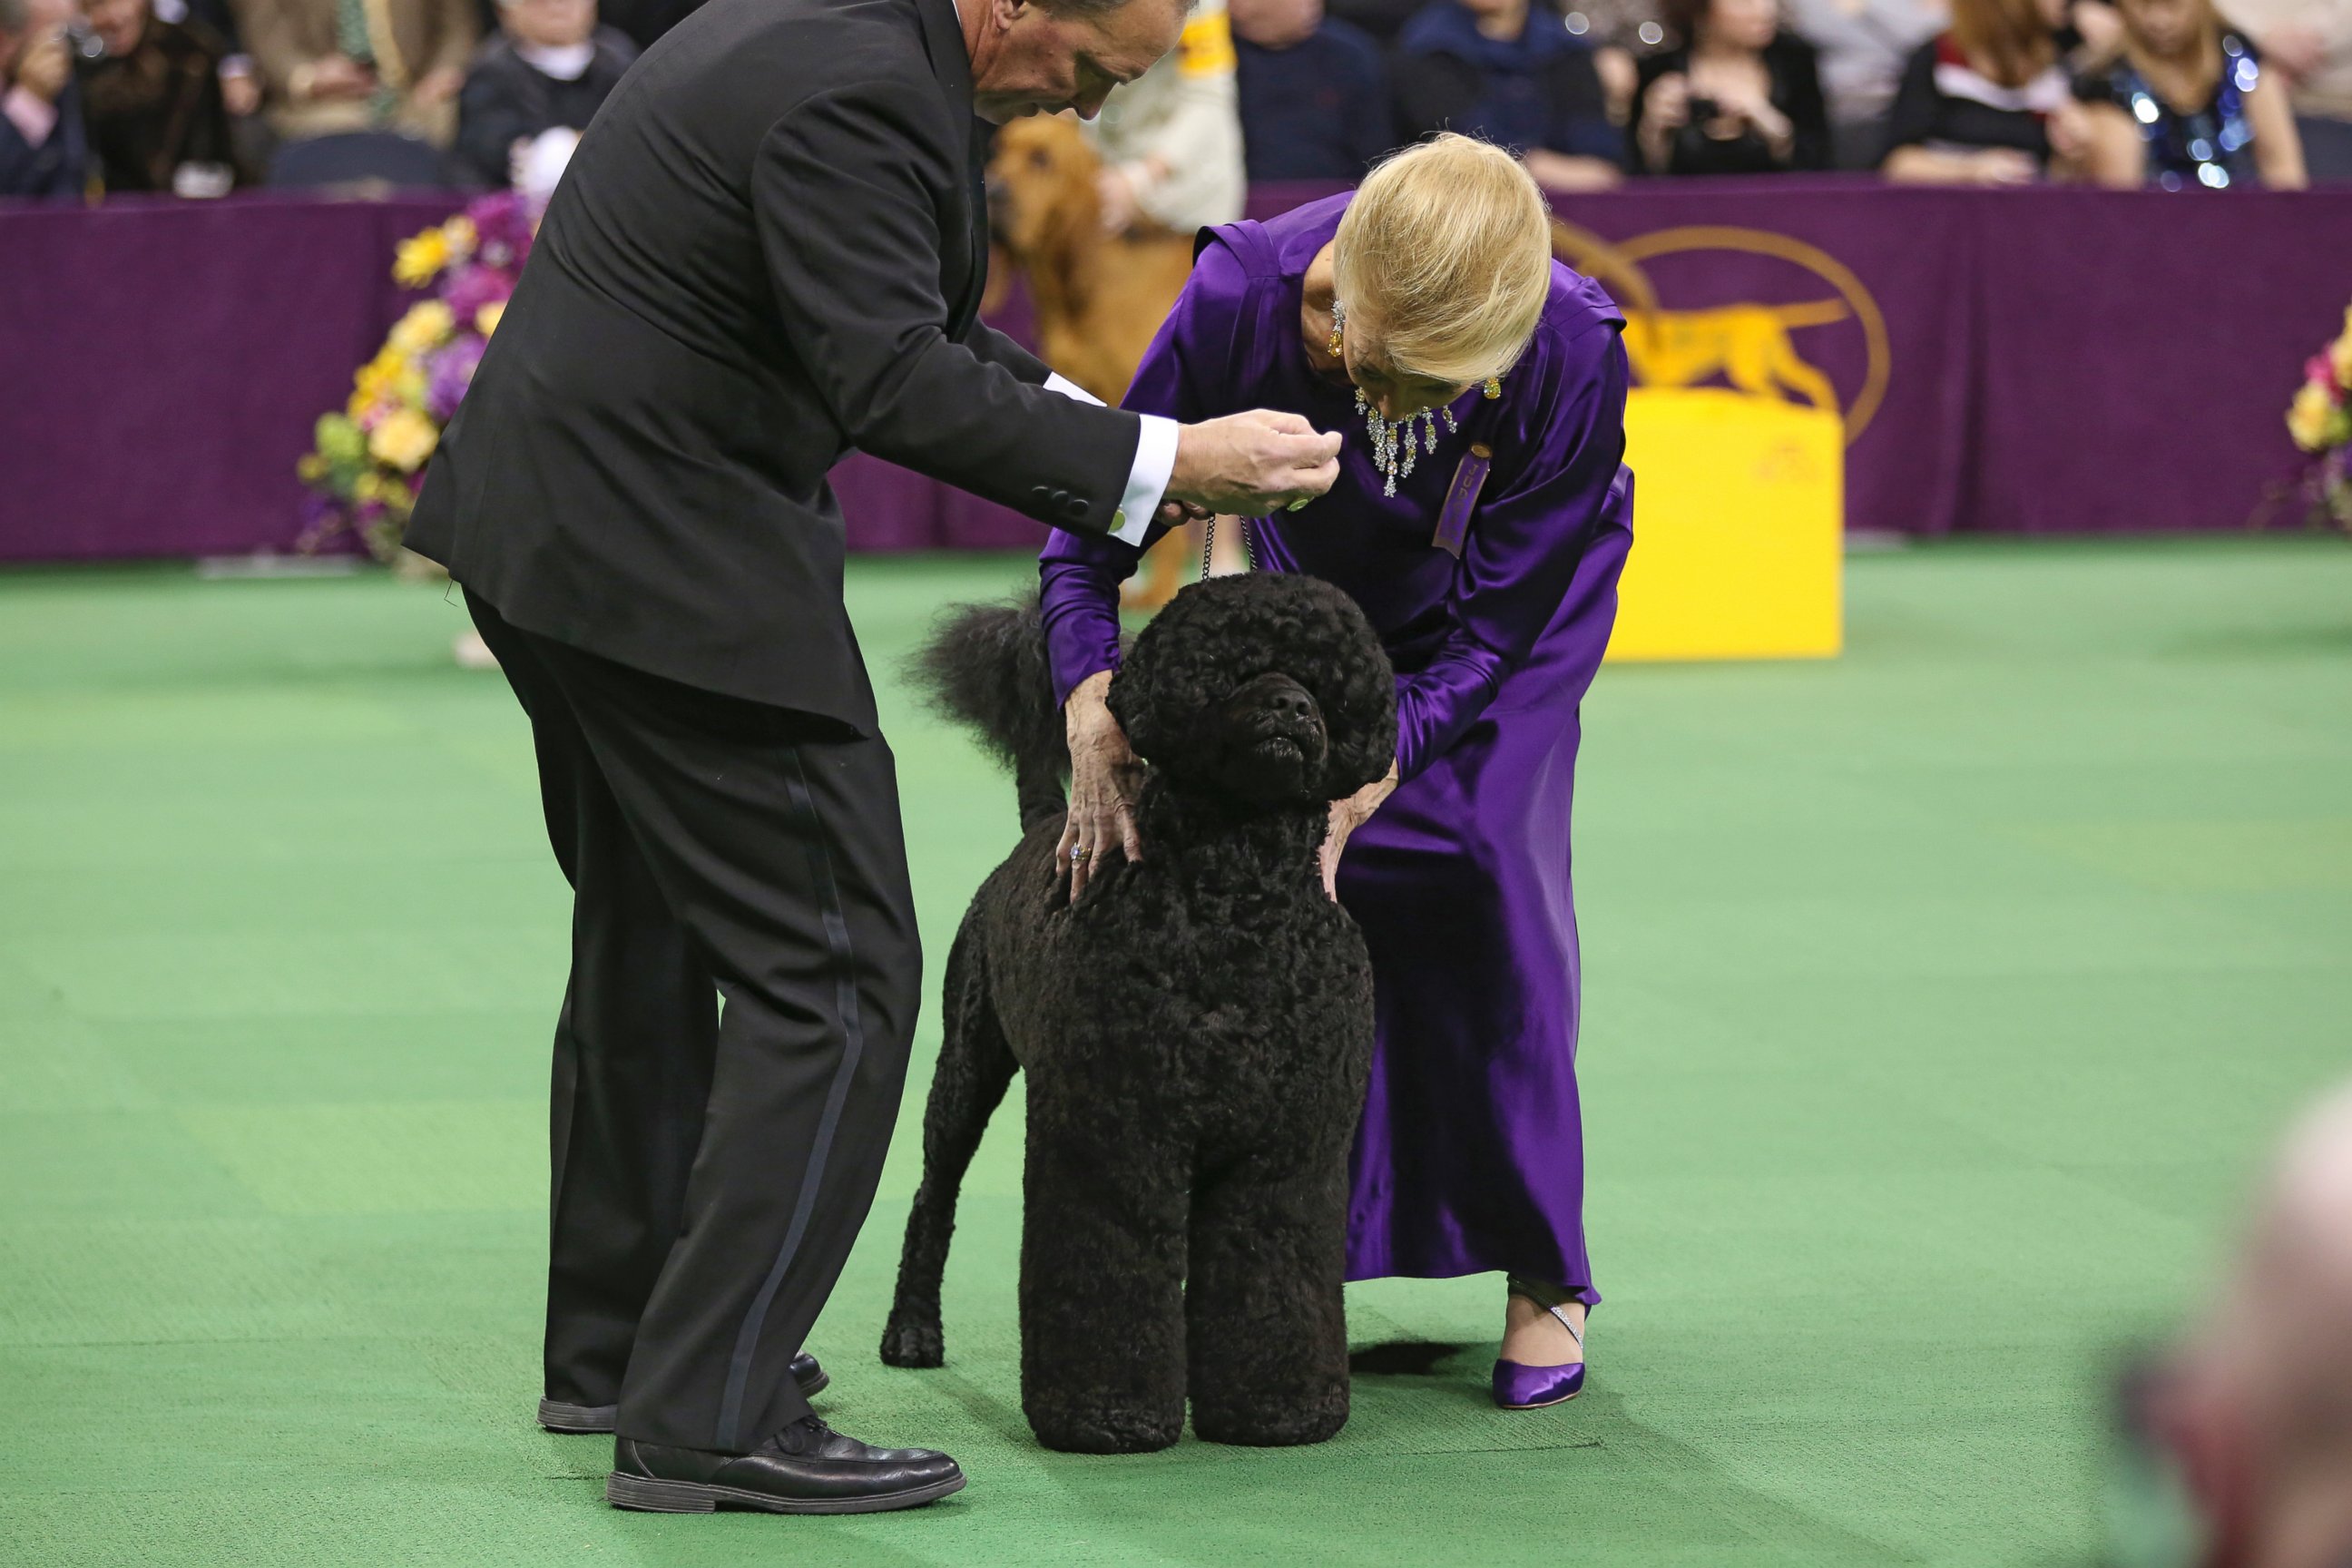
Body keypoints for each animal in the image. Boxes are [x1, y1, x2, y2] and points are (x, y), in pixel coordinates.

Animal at [879, 575, 1392, 1457]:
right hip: (966, 1066)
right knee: (931, 1199)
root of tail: (1044, 825)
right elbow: (1106, 1273)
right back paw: (912, 1333)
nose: (1292, 708)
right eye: (1234, 664)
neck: (1232, 904)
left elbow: (1274, 1274)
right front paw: (1107, 1416)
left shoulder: (1285, 1151)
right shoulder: (1114, 1134)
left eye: (1326, 681)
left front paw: (1279, 1410)